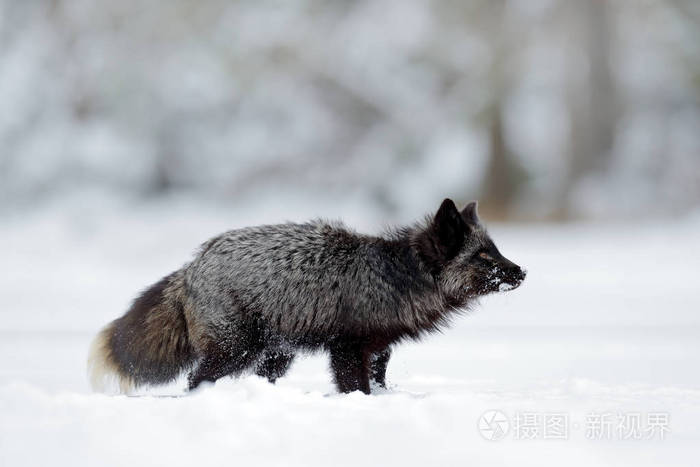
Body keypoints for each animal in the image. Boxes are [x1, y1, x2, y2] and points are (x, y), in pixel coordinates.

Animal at [87, 199, 524, 396]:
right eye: (483, 256)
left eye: (495, 250)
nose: (521, 272)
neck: (395, 275)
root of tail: (193, 264)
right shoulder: (347, 347)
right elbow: (356, 386)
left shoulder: (378, 348)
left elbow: (378, 380)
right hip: (236, 349)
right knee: (196, 378)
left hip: (275, 355)